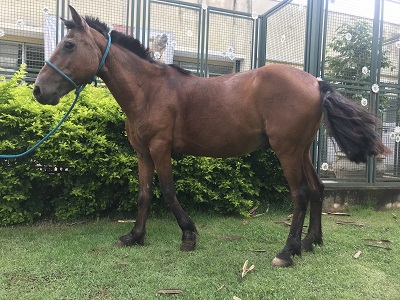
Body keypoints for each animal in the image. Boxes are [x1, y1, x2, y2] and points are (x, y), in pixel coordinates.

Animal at [32, 5, 390, 266]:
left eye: (68, 45)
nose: (38, 90)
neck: (148, 90)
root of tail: (316, 82)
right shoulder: (143, 153)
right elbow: (144, 194)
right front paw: (134, 236)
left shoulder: (160, 148)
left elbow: (168, 191)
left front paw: (188, 234)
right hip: (301, 151)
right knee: (317, 190)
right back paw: (309, 242)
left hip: (287, 151)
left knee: (300, 195)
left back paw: (287, 252)